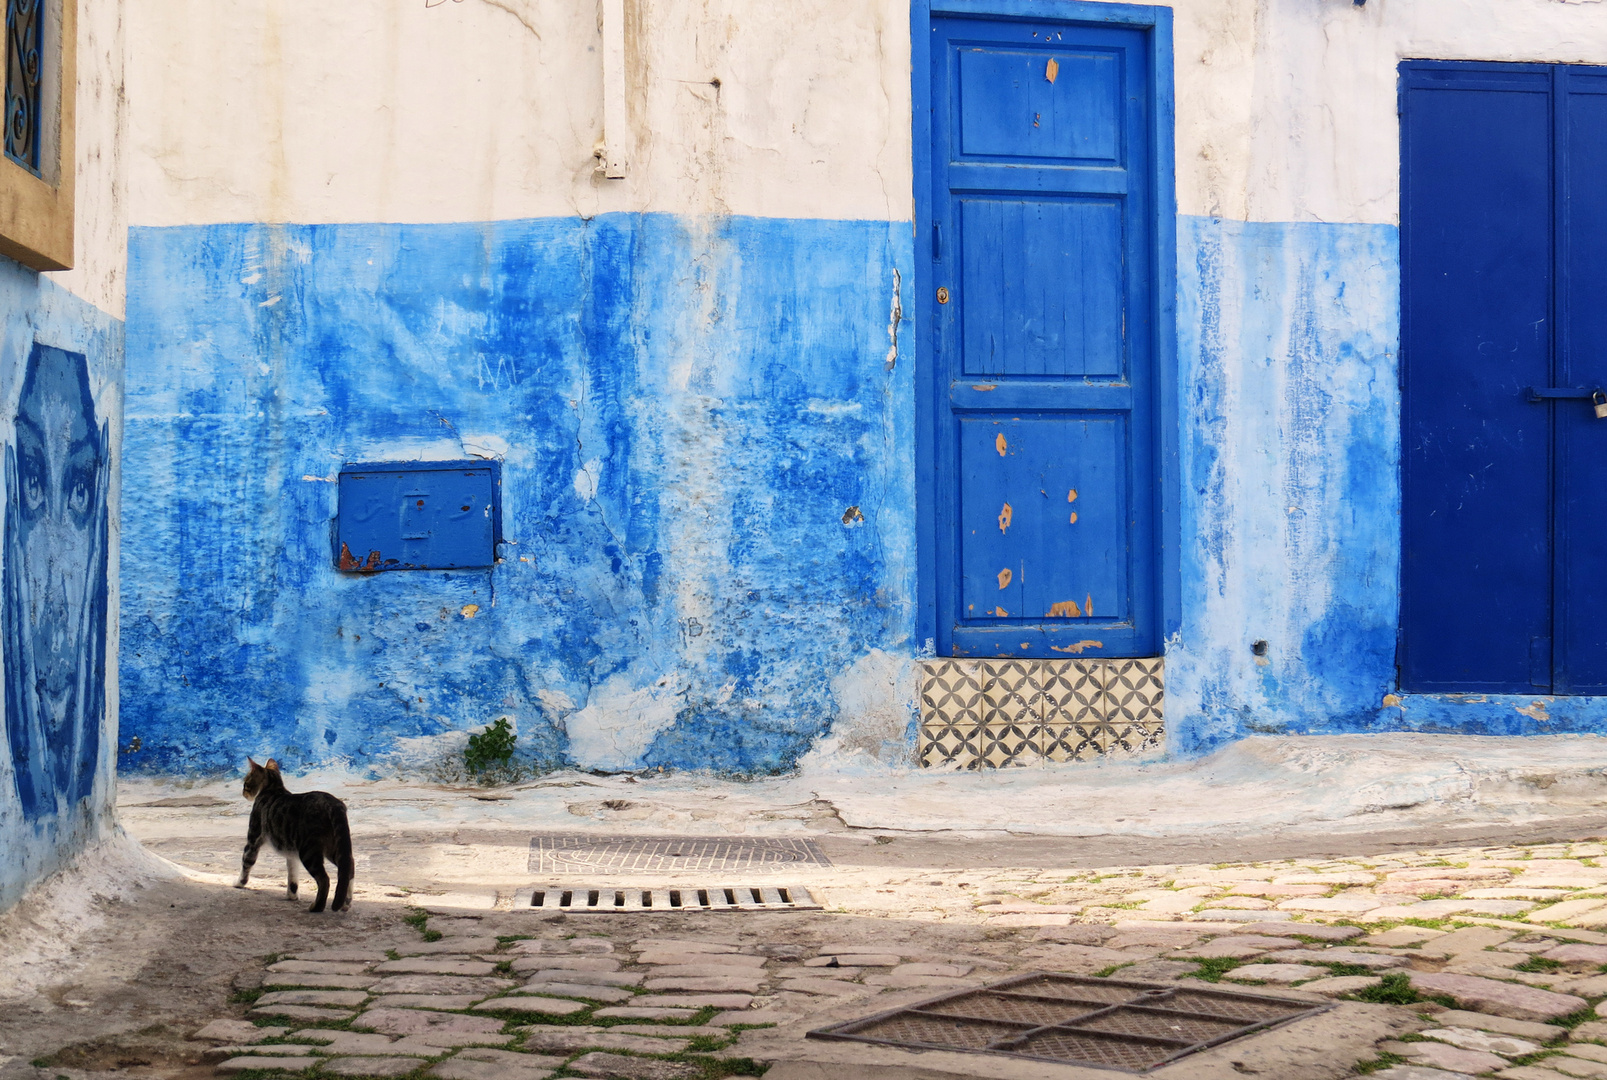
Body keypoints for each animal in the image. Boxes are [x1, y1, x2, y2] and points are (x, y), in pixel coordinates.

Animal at [234, 758, 355, 912]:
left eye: (246, 783)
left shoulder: (253, 839)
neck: (273, 788)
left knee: (324, 879)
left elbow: (246, 862)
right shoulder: (291, 850)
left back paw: (317, 907)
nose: (243, 792)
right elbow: (292, 874)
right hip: (333, 846)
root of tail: (334, 803)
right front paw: (292, 895)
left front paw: (239, 883)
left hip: (309, 850)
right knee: (348, 866)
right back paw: (346, 902)